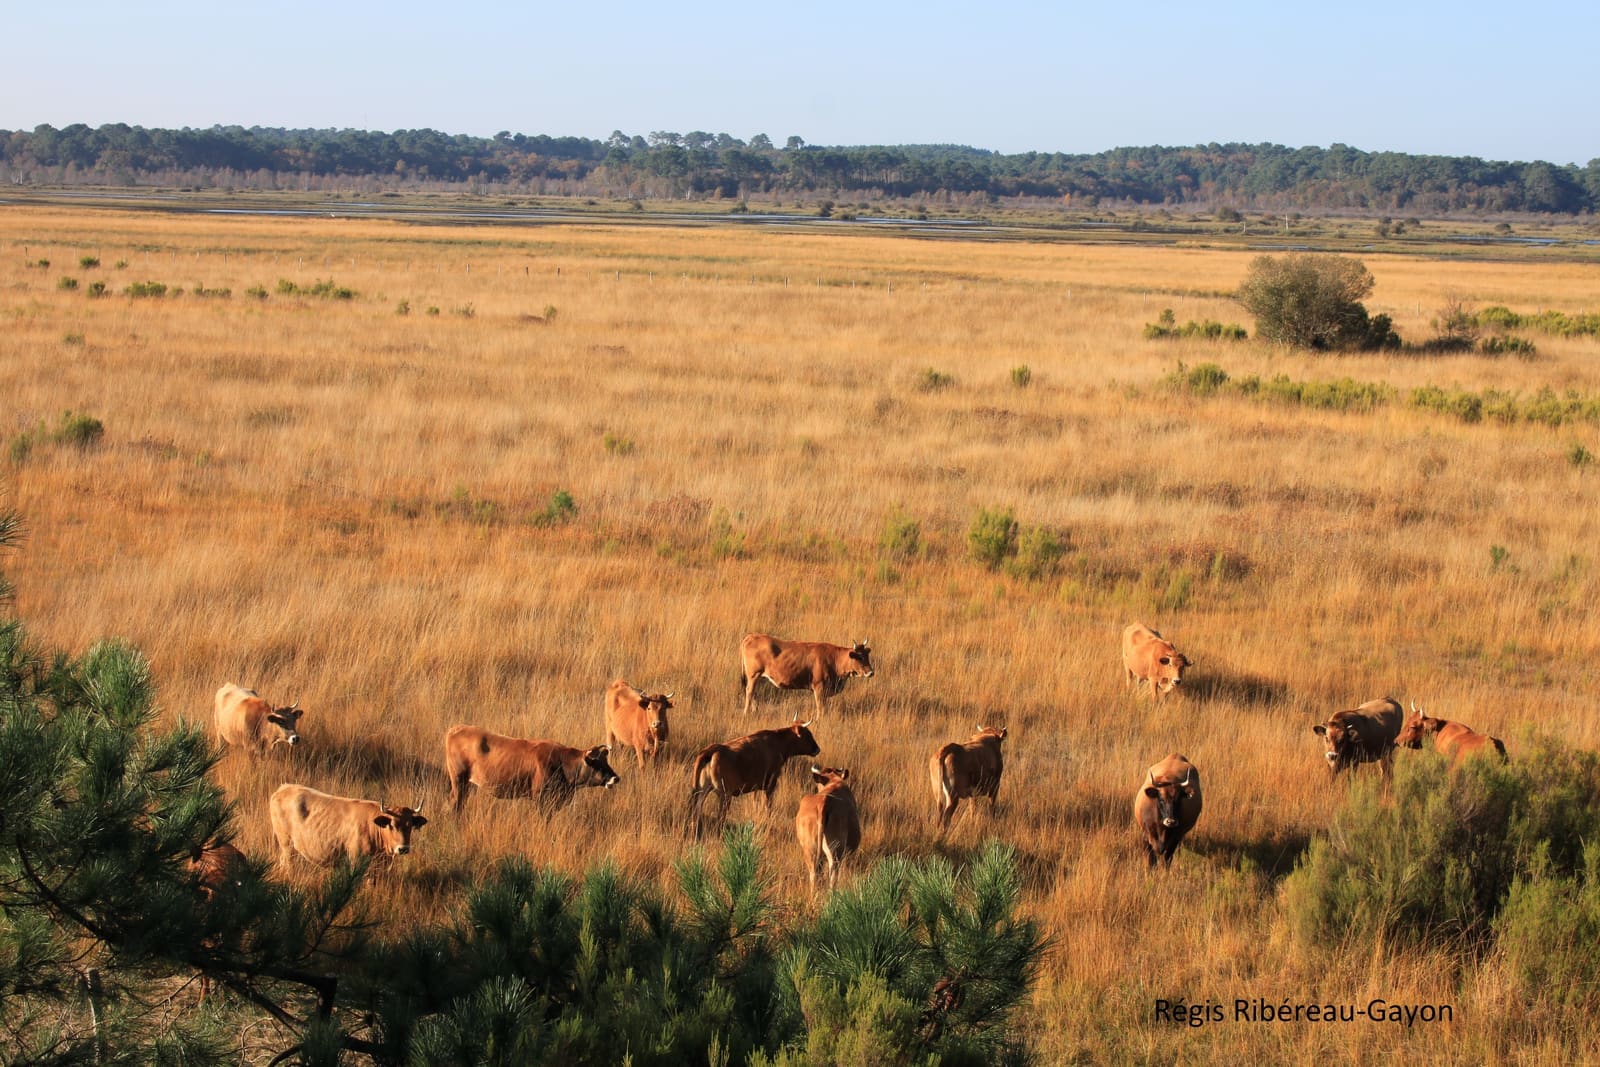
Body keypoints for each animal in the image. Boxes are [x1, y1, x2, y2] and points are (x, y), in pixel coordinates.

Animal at [269, 785, 427, 869]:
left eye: (410, 826)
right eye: (392, 825)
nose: (403, 849)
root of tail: (284, 788)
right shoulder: (356, 860)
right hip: (286, 845)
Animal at [445, 726, 620, 814]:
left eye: (606, 761)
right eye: (597, 763)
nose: (616, 778)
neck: (562, 762)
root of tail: (456, 728)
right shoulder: (541, 799)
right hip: (458, 780)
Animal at [687, 720, 821, 839]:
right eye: (808, 735)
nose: (817, 749)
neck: (777, 742)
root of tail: (710, 751)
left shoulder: (755, 787)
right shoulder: (770, 785)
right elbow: (769, 807)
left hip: (701, 792)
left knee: (695, 814)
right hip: (725, 795)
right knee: (720, 818)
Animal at [740, 634, 875, 717]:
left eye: (867, 656)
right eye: (859, 657)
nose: (871, 672)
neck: (834, 659)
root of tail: (751, 636)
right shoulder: (819, 687)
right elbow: (821, 707)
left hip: (758, 677)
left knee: (754, 693)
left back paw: (755, 710)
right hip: (753, 675)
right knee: (749, 691)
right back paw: (746, 713)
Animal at [795, 766, 861, 894]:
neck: (834, 781)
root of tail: (823, 802)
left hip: (810, 850)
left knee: (814, 874)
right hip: (835, 852)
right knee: (833, 875)